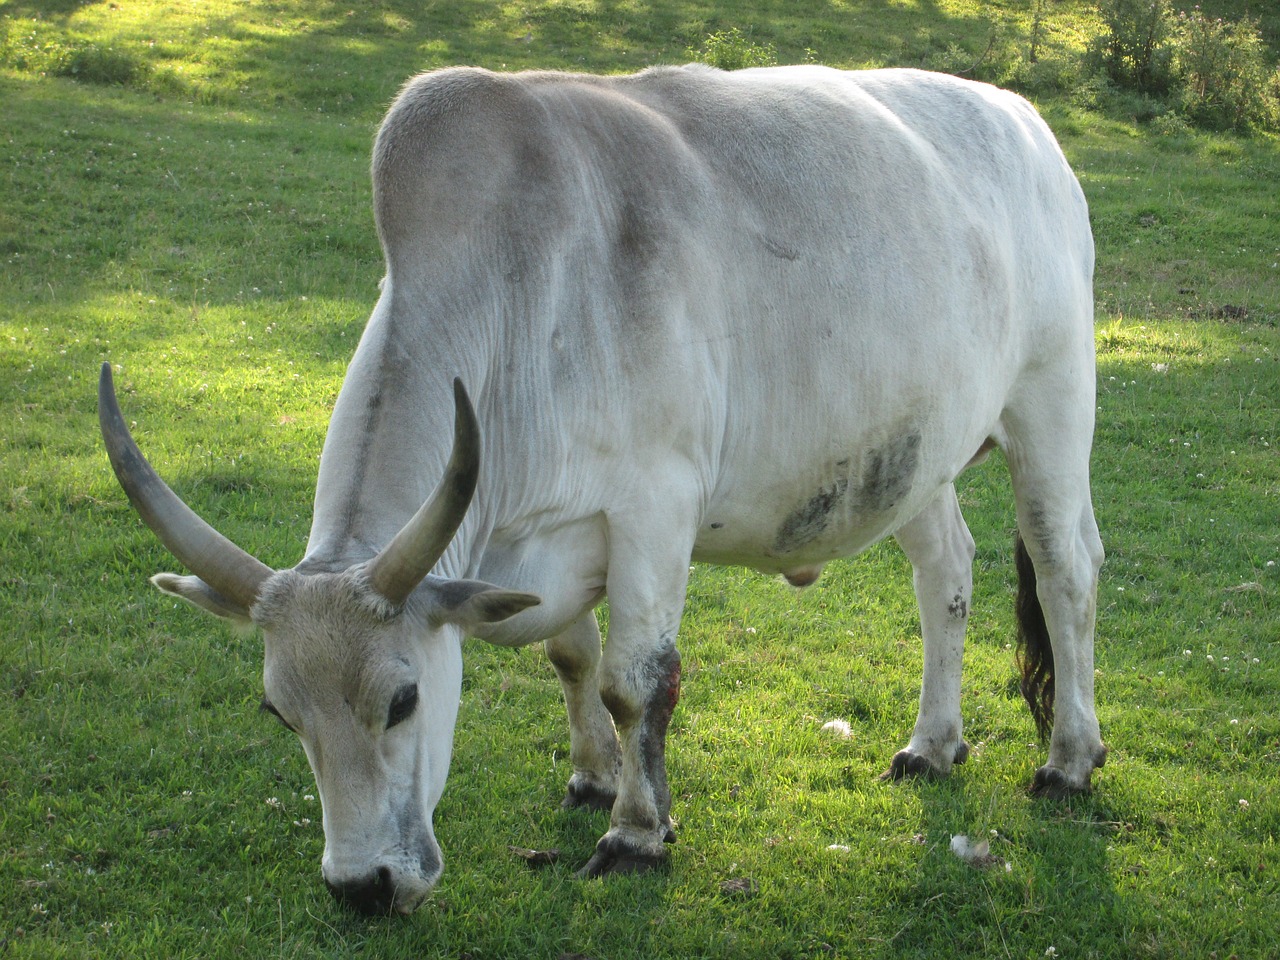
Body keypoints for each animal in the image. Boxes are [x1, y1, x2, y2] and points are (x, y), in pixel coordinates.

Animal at [99, 62, 1105, 916]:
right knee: (947, 576)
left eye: (403, 700)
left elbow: (635, 683)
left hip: (1051, 405)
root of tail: (1024, 122)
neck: (518, 289)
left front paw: (636, 832)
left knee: (1066, 569)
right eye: (280, 712)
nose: (362, 888)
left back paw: (1069, 759)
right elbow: (571, 658)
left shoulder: (655, 508)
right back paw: (933, 744)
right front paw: (591, 778)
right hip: (918, 453)